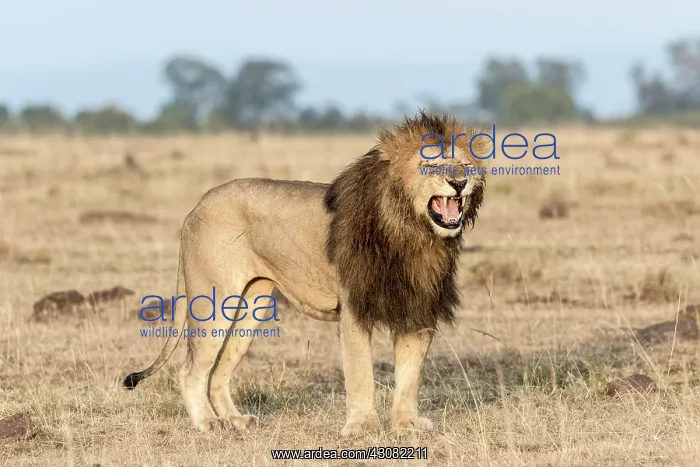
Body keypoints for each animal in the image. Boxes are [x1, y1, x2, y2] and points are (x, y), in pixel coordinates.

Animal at [123, 111, 488, 436]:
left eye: (465, 166)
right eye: (430, 166)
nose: (459, 183)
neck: (412, 233)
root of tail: (197, 206)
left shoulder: (417, 307)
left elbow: (410, 374)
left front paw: (405, 425)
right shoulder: (354, 307)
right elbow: (360, 371)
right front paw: (362, 427)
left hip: (251, 307)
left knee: (219, 370)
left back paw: (236, 421)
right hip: (212, 301)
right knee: (190, 370)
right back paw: (208, 424)